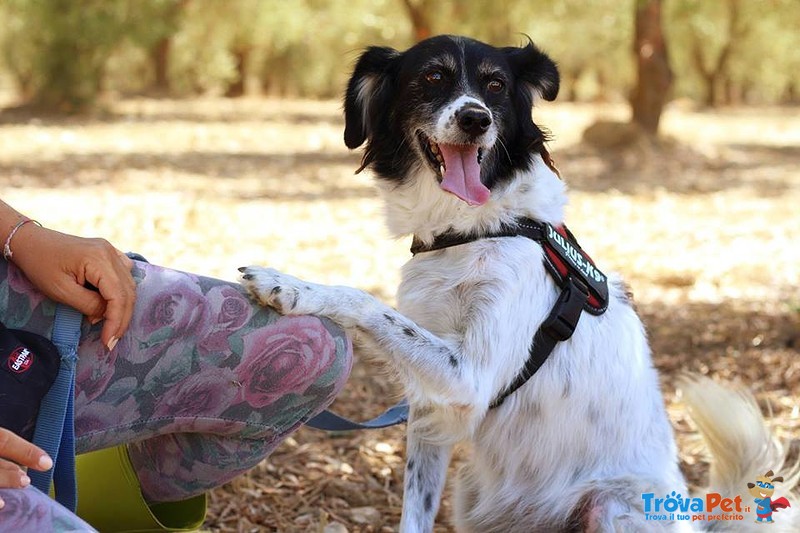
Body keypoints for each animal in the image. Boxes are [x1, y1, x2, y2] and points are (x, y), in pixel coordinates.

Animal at [241, 35, 796, 528]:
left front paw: (290, 285)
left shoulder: (468, 377)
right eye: (433, 78)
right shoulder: (431, 412)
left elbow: (364, 300)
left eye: (495, 86)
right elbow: (416, 510)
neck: (471, 229)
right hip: (470, 498)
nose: (476, 118)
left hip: (612, 507)